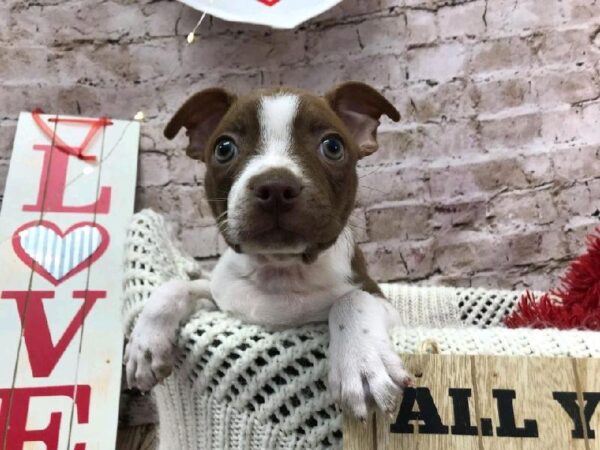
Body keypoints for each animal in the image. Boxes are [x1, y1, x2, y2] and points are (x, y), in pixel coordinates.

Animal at [124, 82, 410, 420]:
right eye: (224, 148)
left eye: (333, 146)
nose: (275, 185)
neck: (280, 269)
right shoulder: (222, 301)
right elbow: (178, 286)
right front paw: (144, 344)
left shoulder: (382, 300)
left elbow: (352, 300)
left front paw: (363, 364)